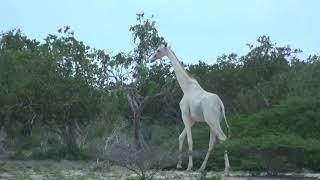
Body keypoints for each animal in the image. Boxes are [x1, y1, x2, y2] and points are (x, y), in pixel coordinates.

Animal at [151, 42, 230, 172]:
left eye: (158, 50)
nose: (151, 59)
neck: (186, 88)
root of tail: (220, 104)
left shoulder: (184, 114)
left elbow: (189, 140)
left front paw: (189, 166)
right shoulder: (192, 120)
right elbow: (180, 137)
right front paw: (179, 165)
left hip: (211, 120)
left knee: (222, 138)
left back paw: (227, 169)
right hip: (215, 121)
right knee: (213, 142)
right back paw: (202, 168)